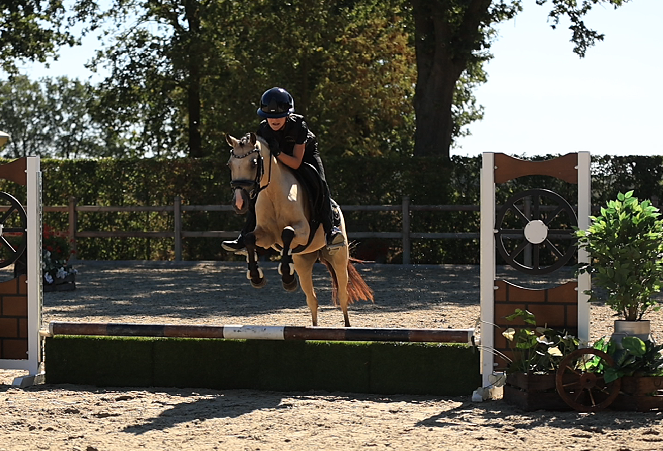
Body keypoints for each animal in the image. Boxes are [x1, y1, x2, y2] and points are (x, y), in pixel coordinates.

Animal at [225, 132, 374, 327]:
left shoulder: (303, 231)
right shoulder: (266, 236)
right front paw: (257, 277)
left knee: (343, 295)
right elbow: (250, 238)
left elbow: (287, 233)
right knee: (312, 300)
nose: (239, 203)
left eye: (254, 163)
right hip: (304, 262)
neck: (274, 194)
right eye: (229, 164)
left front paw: (287, 276)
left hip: (339, 259)